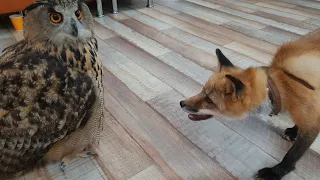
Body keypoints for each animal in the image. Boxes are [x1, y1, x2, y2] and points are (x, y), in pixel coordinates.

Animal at [180, 30, 320, 179]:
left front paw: (275, 172)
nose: (181, 103)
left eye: (209, 100)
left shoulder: (312, 121)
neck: (282, 86)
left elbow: (292, 154)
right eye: (202, 91)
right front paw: (294, 131)